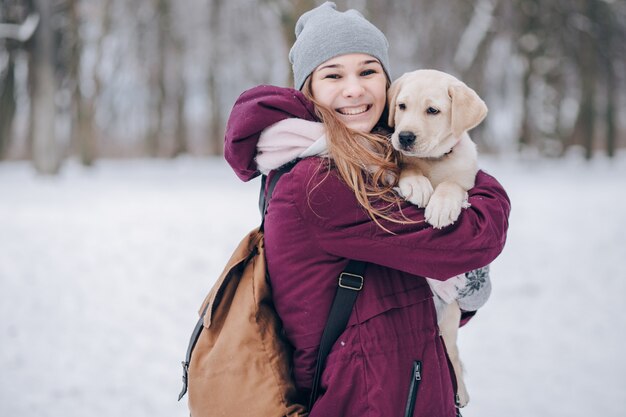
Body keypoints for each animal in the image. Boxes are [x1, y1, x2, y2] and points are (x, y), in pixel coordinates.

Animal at [386, 68, 488, 406]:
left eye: (432, 110)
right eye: (401, 106)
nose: (404, 136)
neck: (434, 161)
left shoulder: (466, 179)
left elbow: (452, 186)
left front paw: (442, 206)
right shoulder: (403, 163)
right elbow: (408, 170)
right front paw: (417, 185)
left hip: (448, 317)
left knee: (452, 353)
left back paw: (462, 392)